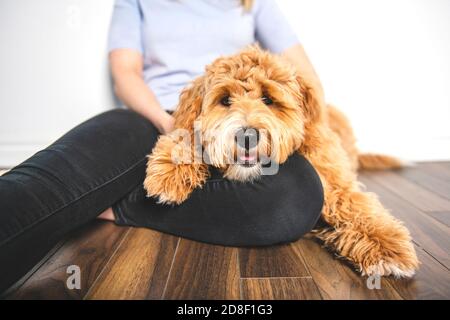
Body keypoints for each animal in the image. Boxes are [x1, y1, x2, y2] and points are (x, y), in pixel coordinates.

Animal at [143, 45, 418, 278]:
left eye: (268, 99)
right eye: (225, 100)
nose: (247, 136)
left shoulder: (334, 177)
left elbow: (357, 206)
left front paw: (386, 249)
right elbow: (187, 132)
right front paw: (170, 171)